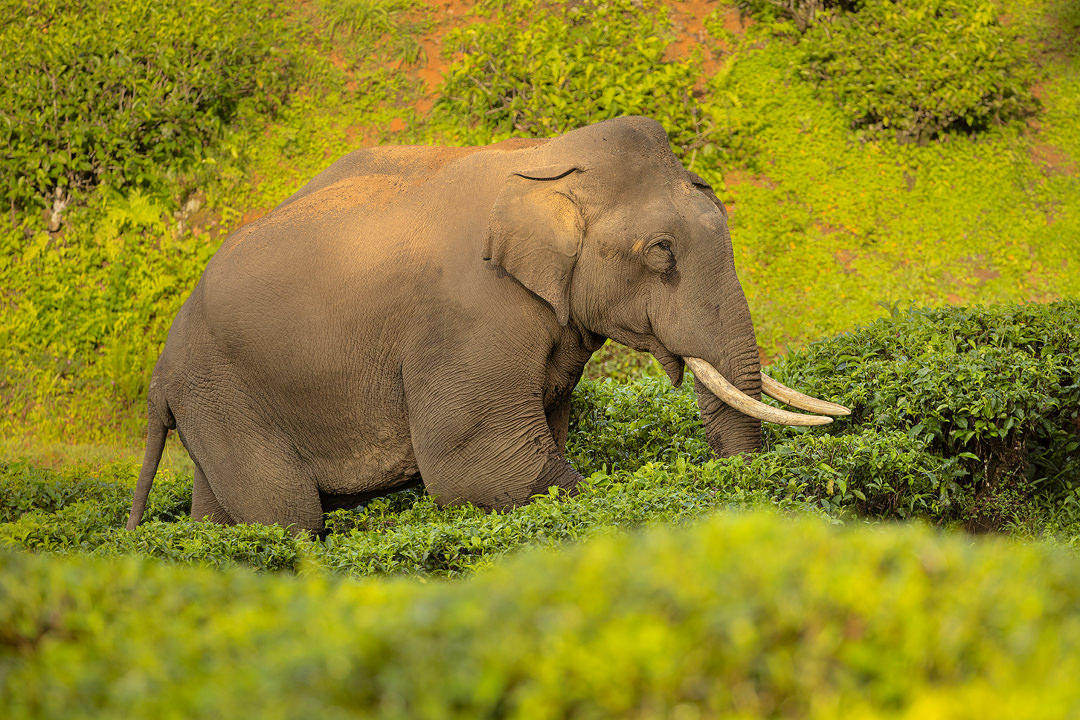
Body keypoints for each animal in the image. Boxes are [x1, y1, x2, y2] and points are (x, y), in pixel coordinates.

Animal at [126, 117, 846, 535]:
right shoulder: (466, 318)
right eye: (661, 251)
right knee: (286, 518)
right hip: (224, 396)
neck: (545, 161)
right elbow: (482, 466)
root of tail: (161, 367)